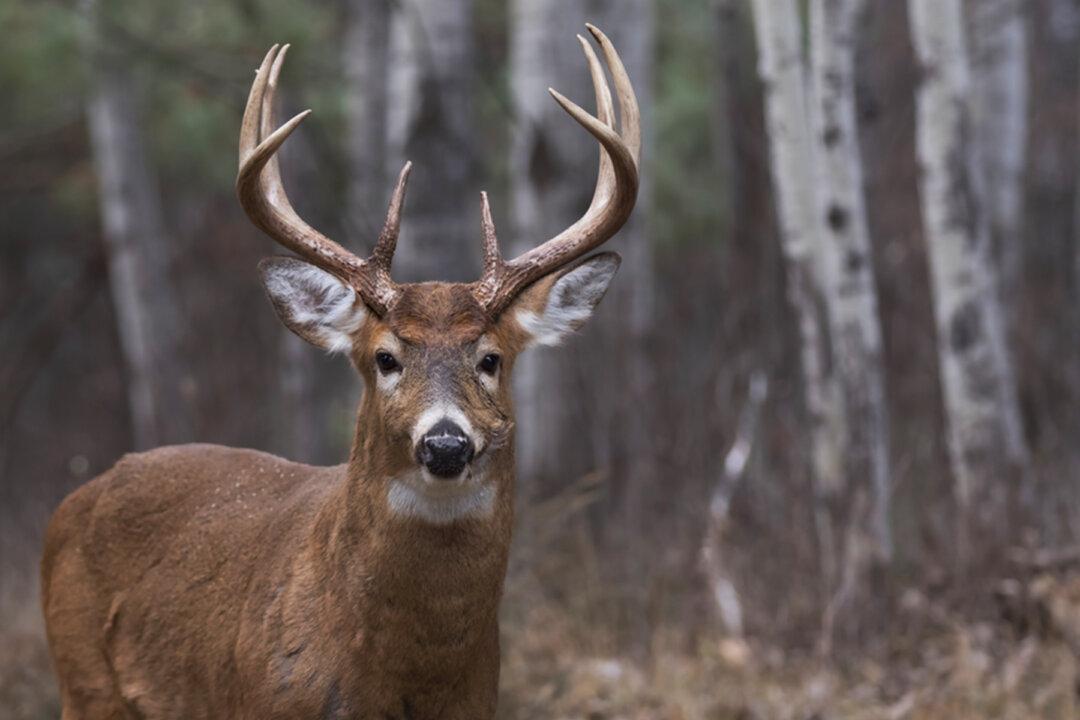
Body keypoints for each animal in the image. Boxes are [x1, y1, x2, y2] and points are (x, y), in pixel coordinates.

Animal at [41, 24, 638, 720]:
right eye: (385, 357)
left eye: (491, 358)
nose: (445, 443)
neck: (404, 681)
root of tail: (76, 501)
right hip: (83, 680)